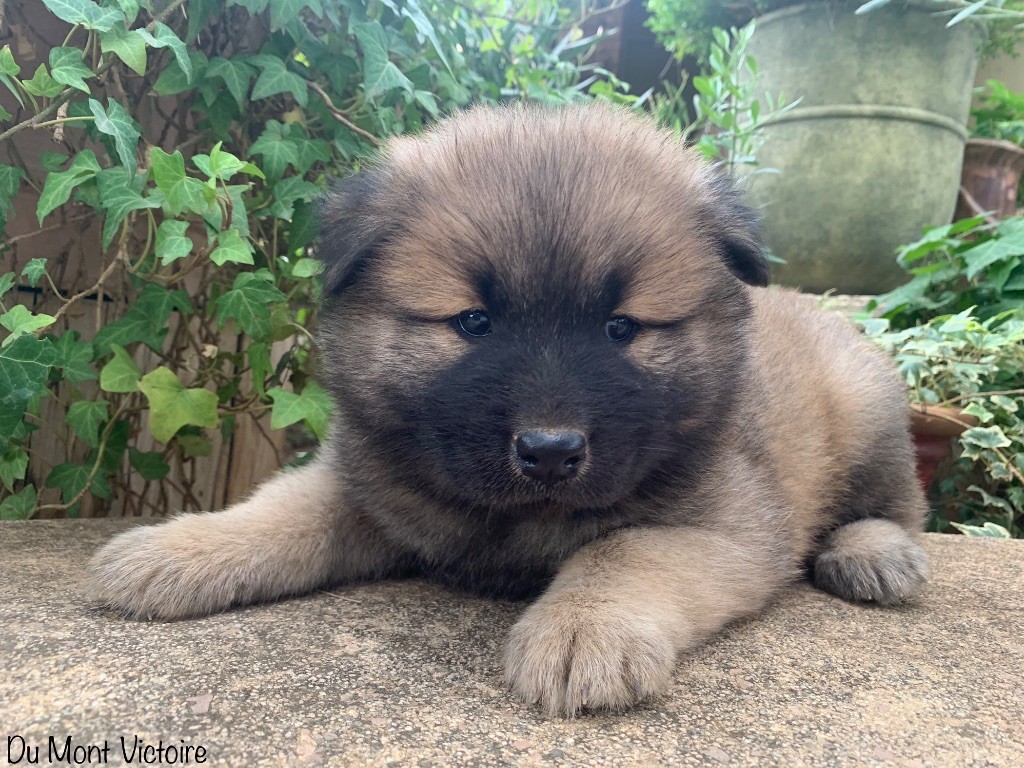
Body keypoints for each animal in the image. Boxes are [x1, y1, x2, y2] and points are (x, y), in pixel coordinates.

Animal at [88, 103, 929, 717]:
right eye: (473, 322)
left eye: (620, 328)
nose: (551, 451)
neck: (512, 523)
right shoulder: (372, 485)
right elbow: (280, 511)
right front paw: (179, 550)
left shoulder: (729, 527)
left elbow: (623, 551)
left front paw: (582, 628)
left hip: (867, 408)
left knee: (900, 504)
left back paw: (874, 553)